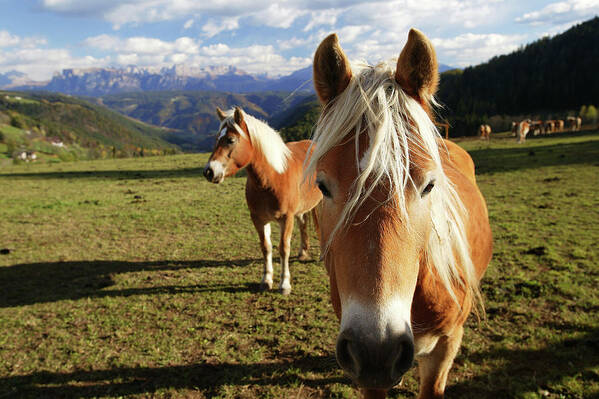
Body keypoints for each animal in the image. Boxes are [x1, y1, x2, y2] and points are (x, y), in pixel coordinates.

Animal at [203, 108, 324, 296]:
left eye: (230, 140)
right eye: (217, 139)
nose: (209, 171)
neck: (273, 177)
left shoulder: (286, 218)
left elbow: (283, 248)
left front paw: (284, 284)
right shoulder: (259, 219)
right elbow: (266, 247)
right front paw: (266, 280)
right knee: (303, 223)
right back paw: (303, 252)